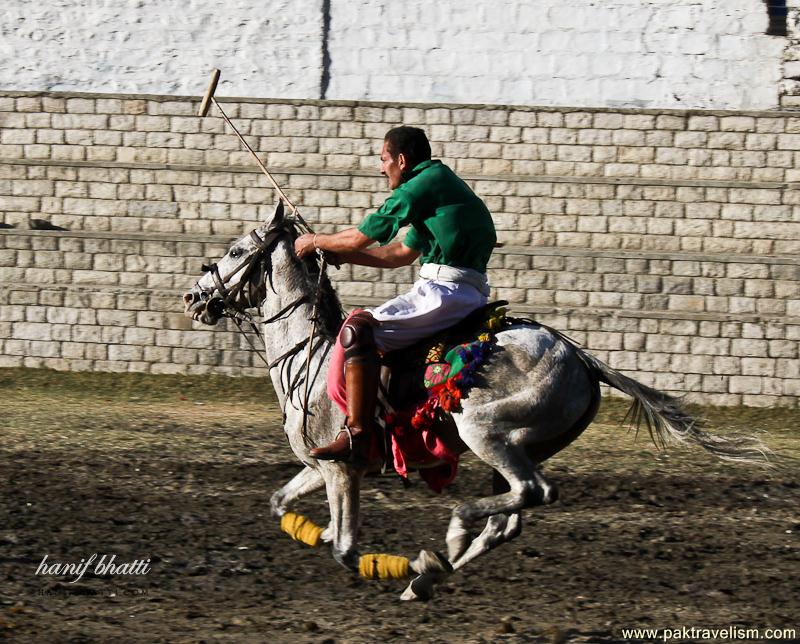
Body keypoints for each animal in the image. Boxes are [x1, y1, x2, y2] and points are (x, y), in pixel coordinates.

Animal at [183, 204, 768, 600]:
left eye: (235, 251)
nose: (193, 296)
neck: (311, 352)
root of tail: (581, 358)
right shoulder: (320, 465)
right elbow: (280, 503)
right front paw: (320, 529)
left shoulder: (343, 468)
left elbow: (346, 550)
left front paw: (390, 561)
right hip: (521, 445)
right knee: (510, 517)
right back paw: (431, 573)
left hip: (484, 431)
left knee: (531, 494)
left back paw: (444, 543)